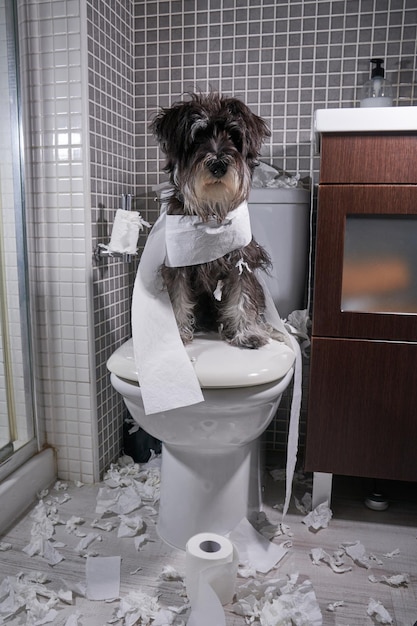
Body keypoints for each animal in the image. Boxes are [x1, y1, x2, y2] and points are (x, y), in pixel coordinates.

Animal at [151, 91, 274, 352]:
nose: (218, 165)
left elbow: (242, 296)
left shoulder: (241, 260)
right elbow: (178, 298)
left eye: (235, 136)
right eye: (198, 137)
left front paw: (247, 333)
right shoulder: (178, 266)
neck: (210, 211)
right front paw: (178, 334)